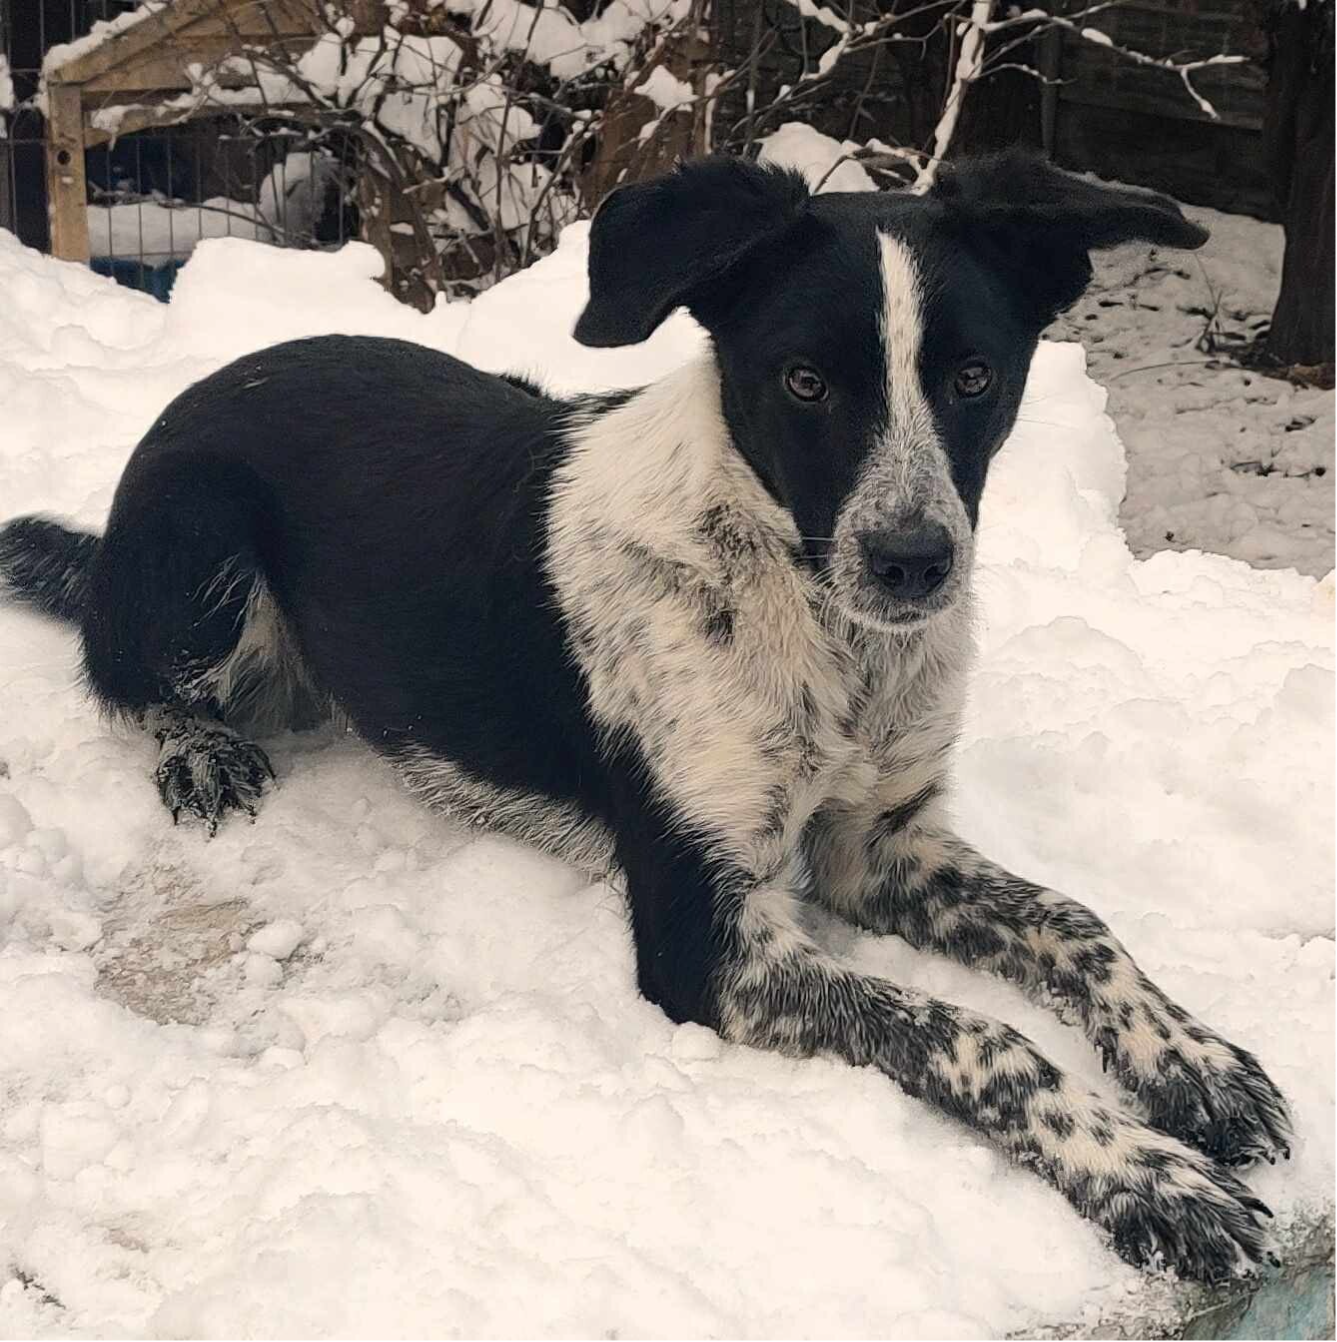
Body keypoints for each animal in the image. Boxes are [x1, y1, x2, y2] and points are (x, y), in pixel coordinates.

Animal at [0, 151, 1289, 1281]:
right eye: (802, 381)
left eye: (974, 376)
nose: (914, 563)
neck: (821, 628)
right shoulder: (702, 931)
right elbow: (980, 1035)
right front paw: (1145, 1176)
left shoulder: (880, 843)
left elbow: (1076, 922)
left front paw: (1191, 1061)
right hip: (203, 544)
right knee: (128, 683)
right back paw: (199, 750)